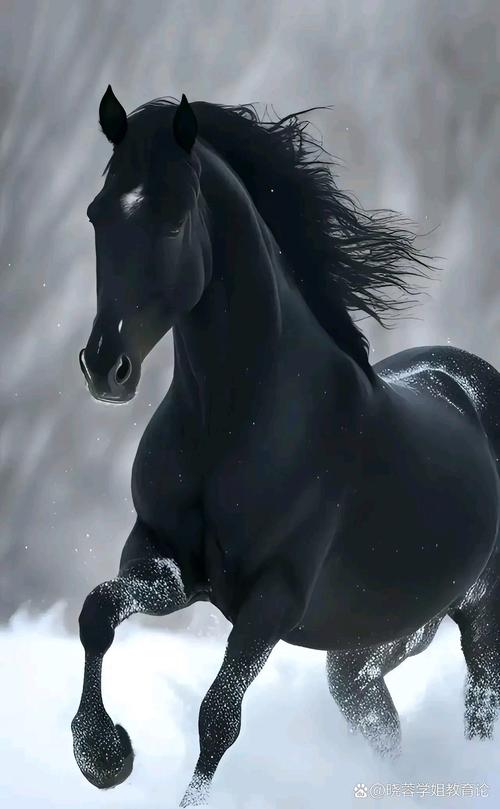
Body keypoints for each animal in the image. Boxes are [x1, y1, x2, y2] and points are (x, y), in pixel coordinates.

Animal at [71, 86, 500, 807]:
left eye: (173, 220)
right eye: (97, 214)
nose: (106, 369)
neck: (237, 423)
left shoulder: (273, 596)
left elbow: (218, 718)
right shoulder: (165, 561)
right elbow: (97, 612)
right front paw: (104, 756)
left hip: (482, 621)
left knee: (479, 712)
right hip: (367, 649)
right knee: (381, 723)